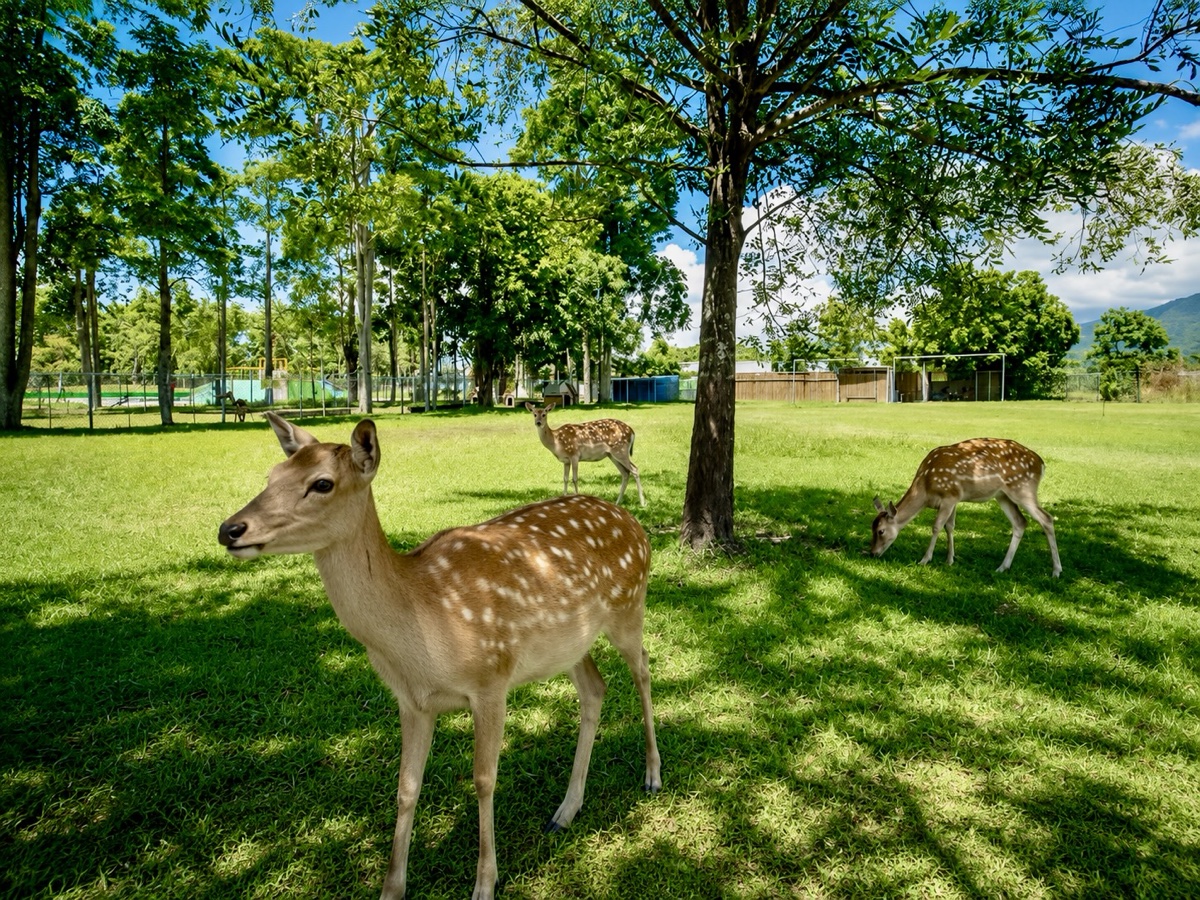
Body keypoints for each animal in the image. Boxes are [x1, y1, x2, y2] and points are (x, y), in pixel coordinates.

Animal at [217, 412, 661, 900]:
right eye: (271, 475)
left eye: (322, 483)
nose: (230, 529)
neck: (422, 631)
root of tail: (636, 527)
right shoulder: (412, 701)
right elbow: (406, 787)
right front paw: (392, 887)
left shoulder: (491, 679)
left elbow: (484, 779)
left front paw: (484, 883)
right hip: (569, 646)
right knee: (595, 689)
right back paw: (565, 810)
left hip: (629, 607)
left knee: (643, 668)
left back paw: (652, 775)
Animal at [870, 437, 1062, 577]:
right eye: (871, 528)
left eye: (881, 531)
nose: (872, 553)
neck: (925, 489)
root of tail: (1041, 464)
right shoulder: (954, 499)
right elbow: (949, 527)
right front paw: (950, 560)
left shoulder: (949, 495)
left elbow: (936, 526)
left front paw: (925, 559)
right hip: (1003, 495)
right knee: (1020, 522)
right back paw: (1002, 567)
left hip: (1023, 488)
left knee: (1046, 518)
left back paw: (1056, 571)